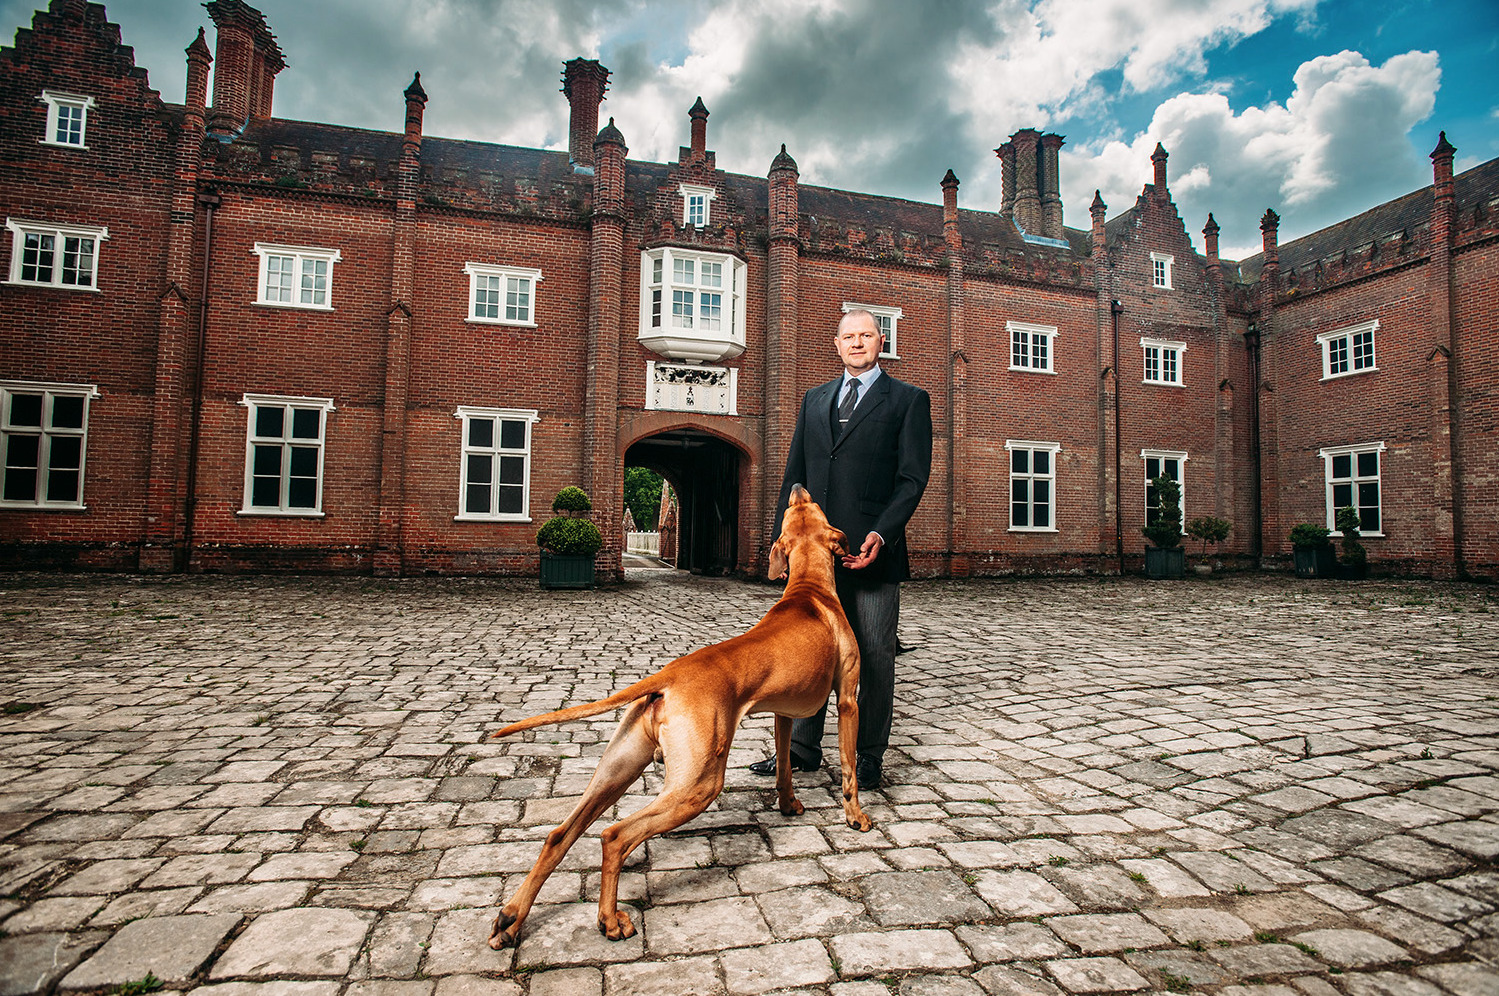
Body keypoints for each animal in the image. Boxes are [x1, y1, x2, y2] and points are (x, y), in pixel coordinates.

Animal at [485, 483, 875, 948]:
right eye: (807, 506)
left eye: (796, 509)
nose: (797, 487)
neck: (808, 589)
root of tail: (669, 674)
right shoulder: (849, 700)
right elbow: (849, 767)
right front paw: (855, 817)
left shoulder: (783, 713)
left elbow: (784, 768)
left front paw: (789, 805)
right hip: (698, 784)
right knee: (614, 836)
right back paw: (609, 919)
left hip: (619, 768)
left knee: (560, 834)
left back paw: (511, 918)